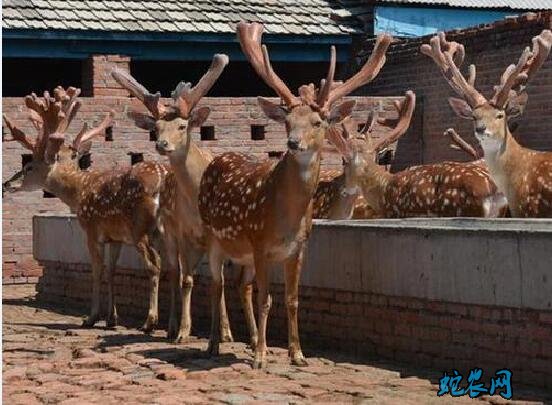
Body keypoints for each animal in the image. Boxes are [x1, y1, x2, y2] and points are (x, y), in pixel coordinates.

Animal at [2, 87, 168, 330]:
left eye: (29, 166)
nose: (6, 184)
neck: (78, 192)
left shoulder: (91, 229)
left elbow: (97, 270)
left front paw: (91, 317)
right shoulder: (115, 237)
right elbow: (111, 270)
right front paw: (111, 318)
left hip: (140, 228)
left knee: (155, 265)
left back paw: (150, 321)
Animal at [112, 55, 242, 342]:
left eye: (183, 126)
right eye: (157, 127)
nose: (162, 144)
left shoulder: (216, 233)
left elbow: (219, 280)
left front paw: (226, 333)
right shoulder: (182, 231)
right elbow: (186, 280)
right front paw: (184, 330)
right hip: (168, 233)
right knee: (173, 272)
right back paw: (170, 326)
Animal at [195, 21, 392, 366]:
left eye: (318, 121)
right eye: (287, 121)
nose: (293, 143)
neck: (286, 218)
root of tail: (217, 159)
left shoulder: (298, 248)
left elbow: (292, 299)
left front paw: (297, 354)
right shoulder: (260, 242)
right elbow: (266, 299)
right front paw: (261, 357)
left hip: (242, 253)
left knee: (240, 285)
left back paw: (248, 341)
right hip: (213, 237)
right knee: (216, 285)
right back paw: (215, 344)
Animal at [328, 90, 508, 218]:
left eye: (344, 162)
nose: (344, 189)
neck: (383, 190)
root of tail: (490, 190)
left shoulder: (393, 213)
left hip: (464, 208)